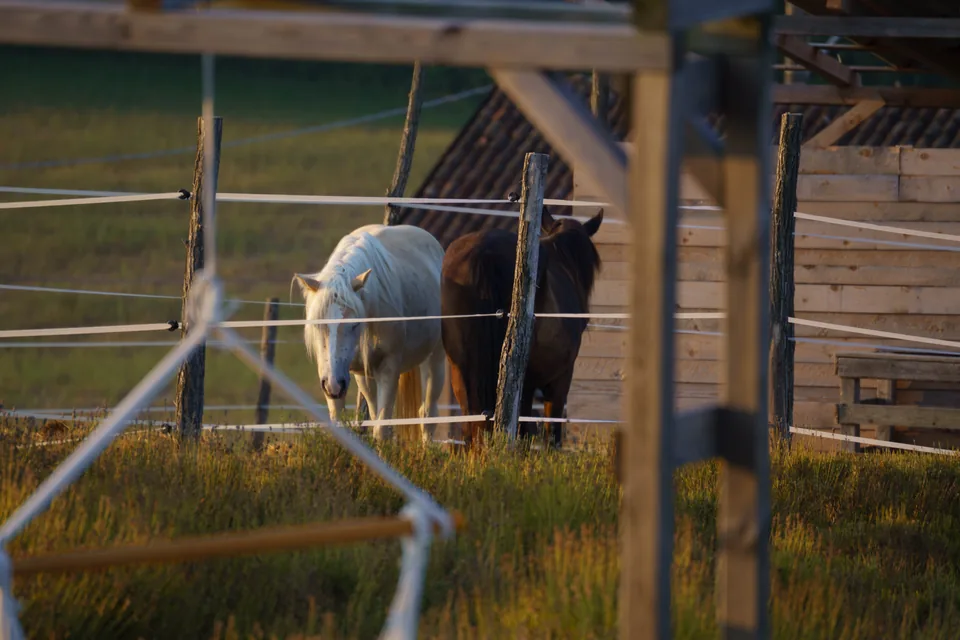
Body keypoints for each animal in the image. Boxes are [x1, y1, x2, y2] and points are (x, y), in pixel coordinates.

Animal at [292, 223, 447, 443]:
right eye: (317, 325)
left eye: (354, 324)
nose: (333, 385)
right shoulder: (354, 376)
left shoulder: (389, 369)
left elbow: (382, 429)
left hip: (435, 359)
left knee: (428, 415)